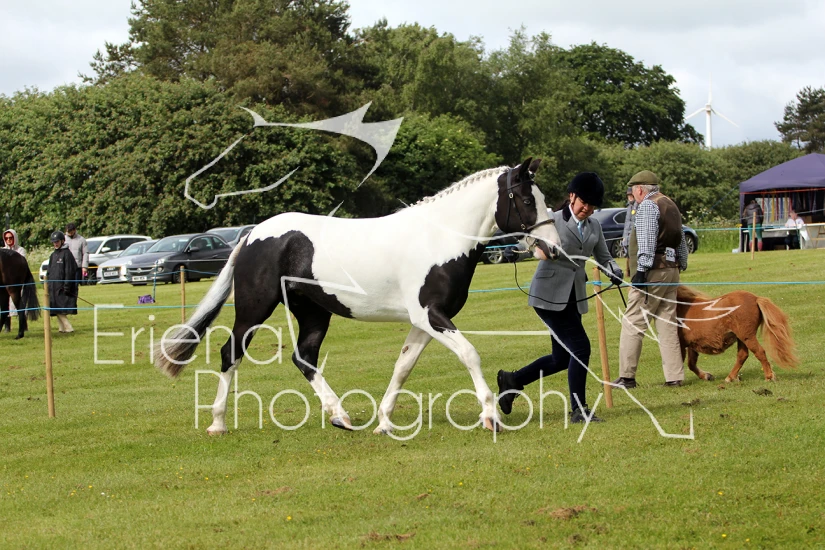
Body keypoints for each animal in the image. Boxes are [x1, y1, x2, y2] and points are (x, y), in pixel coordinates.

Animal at [156, 158, 561, 435]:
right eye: (527, 200)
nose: (553, 248)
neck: (439, 240)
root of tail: (253, 234)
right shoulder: (431, 315)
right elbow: (470, 354)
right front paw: (490, 417)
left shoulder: (424, 321)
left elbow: (403, 366)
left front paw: (384, 421)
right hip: (254, 309)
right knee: (231, 353)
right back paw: (218, 423)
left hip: (314, 313)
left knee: (304, 358)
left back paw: (340, 415)